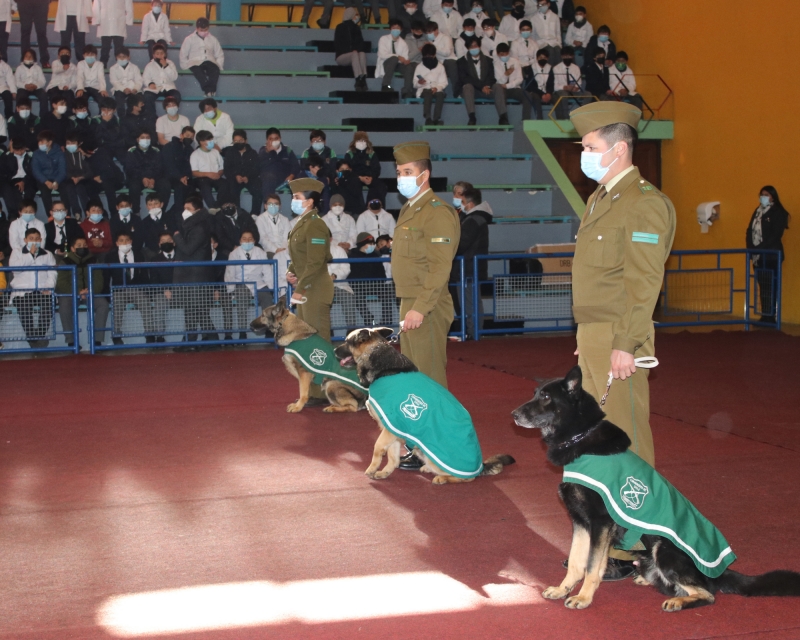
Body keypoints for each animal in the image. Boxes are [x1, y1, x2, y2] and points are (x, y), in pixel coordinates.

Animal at [334, 328, 516, 482]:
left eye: (346, 341)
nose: (334, 350)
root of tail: (480, 467)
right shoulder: (392, 430)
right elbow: (392, 457)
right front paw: (385, 472)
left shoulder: (391, 427)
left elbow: (377, 448)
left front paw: (372, 468)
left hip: (434, 456)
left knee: (467, 479)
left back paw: (444, 478)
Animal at [512, 364, 800, 608]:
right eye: (536, 393)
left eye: (546, 397)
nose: (513, 414)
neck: (581, 437)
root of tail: (719, 575)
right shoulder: (581, 522)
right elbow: (575, 561)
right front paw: (563, 589)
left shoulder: (600, 523)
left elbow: (592, 566)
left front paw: (583, 597)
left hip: (665, 549)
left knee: (707, 594)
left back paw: (678, 601)